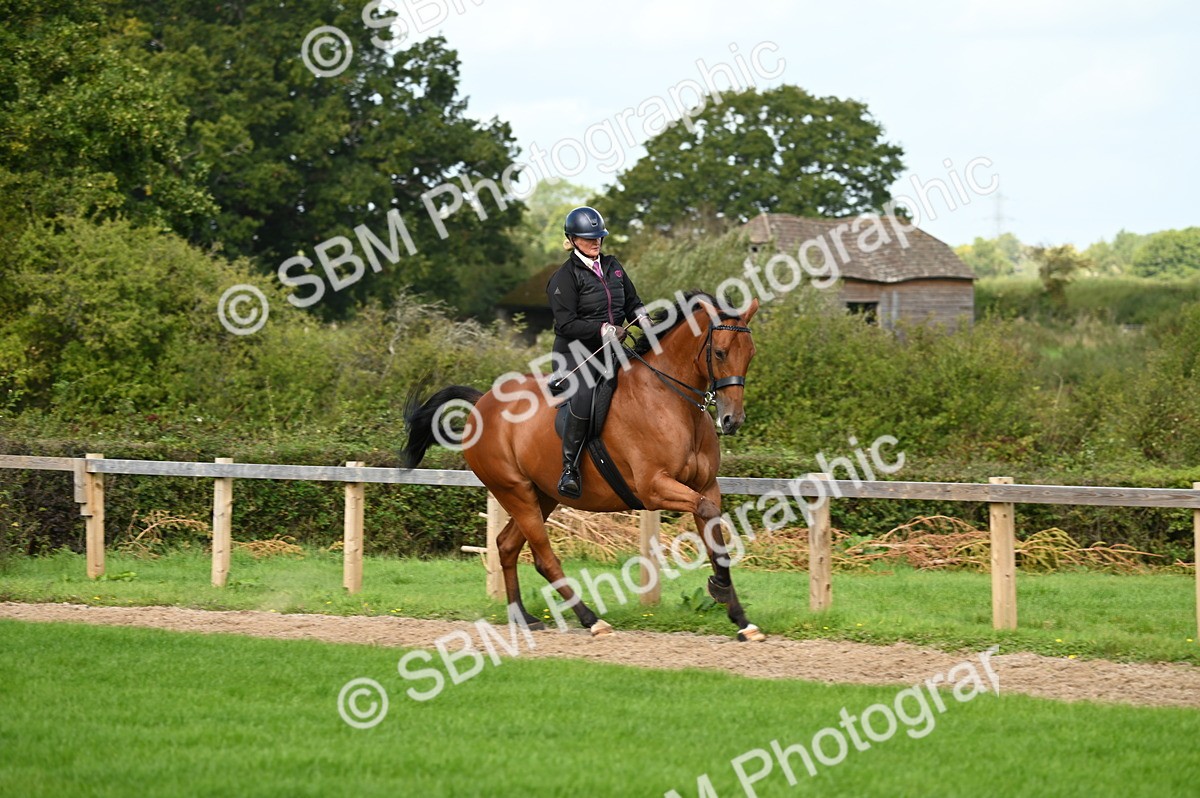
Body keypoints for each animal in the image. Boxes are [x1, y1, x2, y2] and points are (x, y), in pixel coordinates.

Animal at [401, 291, 764, 641]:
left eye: (750, 354)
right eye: (720, 352)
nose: (732, 420)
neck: (670, 400)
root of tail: (482, 404)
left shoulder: (706, 487)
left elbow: (715, 534)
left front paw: (741, 619)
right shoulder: (654, 488)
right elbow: (705, 514)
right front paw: (719, 588)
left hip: (543, 495)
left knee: (506, 546)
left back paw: (523, 617)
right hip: (515, 491)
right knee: (544, 557)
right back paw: (591, 619)